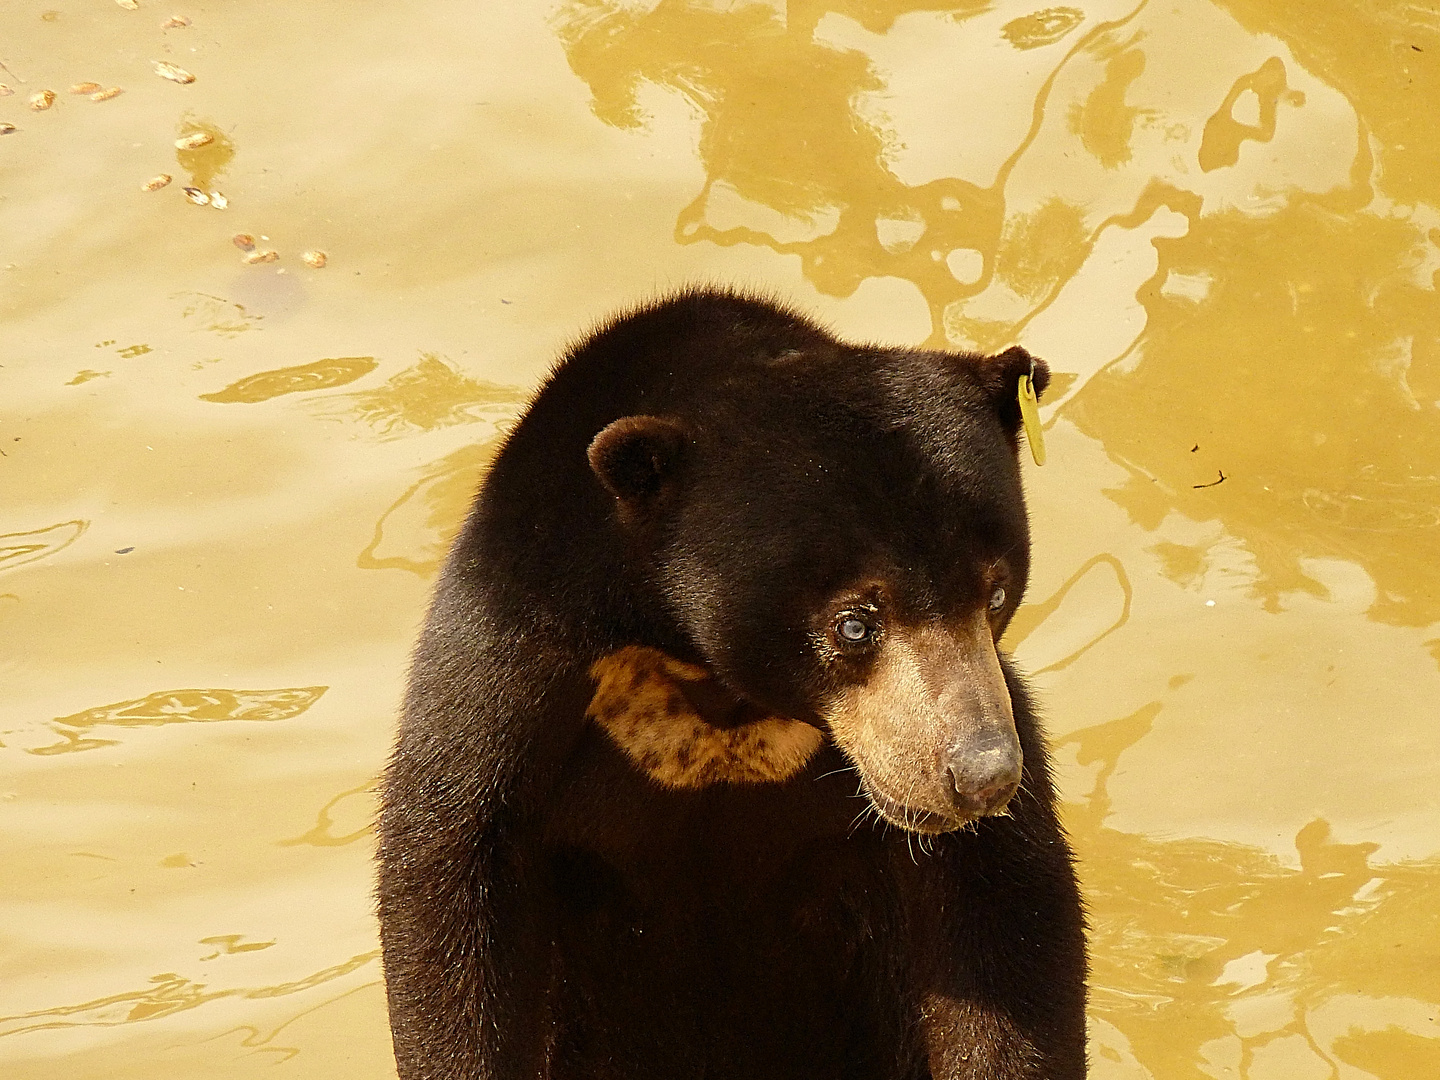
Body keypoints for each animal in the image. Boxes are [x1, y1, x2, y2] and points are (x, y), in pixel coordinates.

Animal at [377, 289, 1082, 1080]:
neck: (713, 684)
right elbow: (451, 890)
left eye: (996, 594)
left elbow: (1005, 921)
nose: (982, 775)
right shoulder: (511, 671)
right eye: (854, 623)